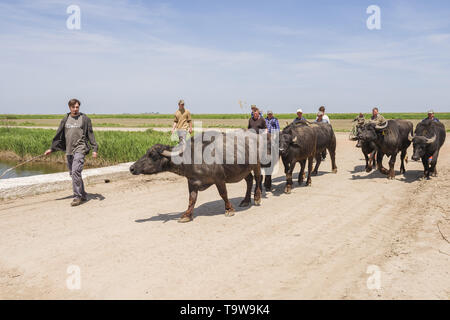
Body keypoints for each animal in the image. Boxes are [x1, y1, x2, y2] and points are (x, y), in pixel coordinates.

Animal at [129, 130, 264, 222]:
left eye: (153, 155)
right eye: (146, 152)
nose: (132, 168)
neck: (193, 157)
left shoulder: (219, 179)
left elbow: (223, 194)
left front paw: (229, 210)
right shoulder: (192, 182)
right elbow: (192, 198)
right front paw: (186, 215)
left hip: (256, 164)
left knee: (258, 178)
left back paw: (257, 198)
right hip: (243, 170)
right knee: (249, 180)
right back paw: (246, 200)